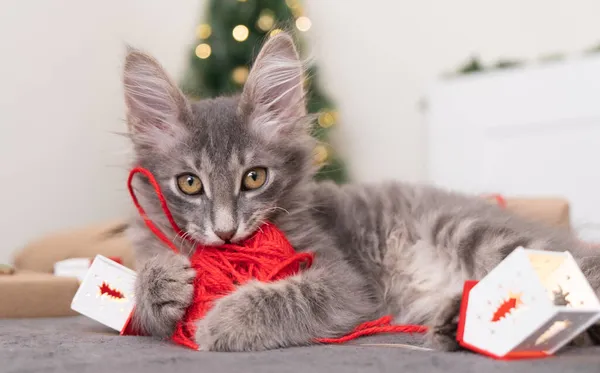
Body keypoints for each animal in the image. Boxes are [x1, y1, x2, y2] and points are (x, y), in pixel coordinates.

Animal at [122, 33, 600, 350]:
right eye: (189, 183)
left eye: (254, 177)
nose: (225, 231)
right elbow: (137, 303)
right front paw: (160, 285)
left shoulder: (344, 282)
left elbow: (287, 296)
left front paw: (220, 322)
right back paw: (457, 324)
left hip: (476, 233)